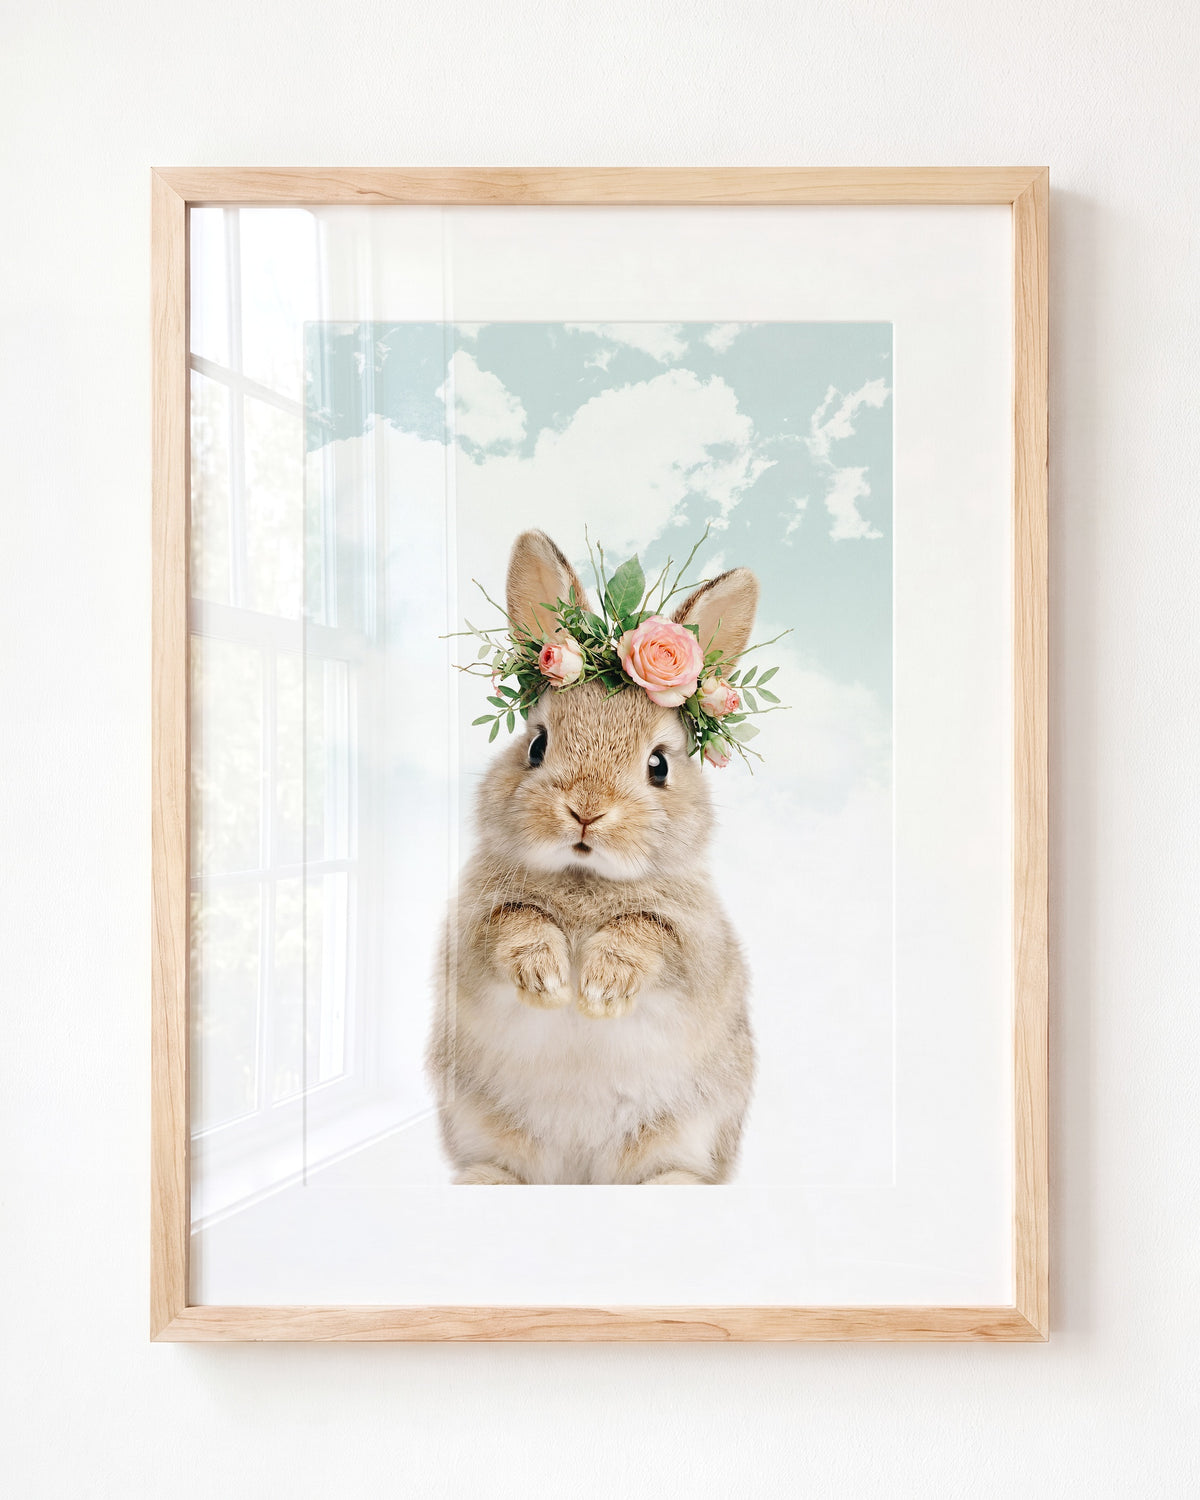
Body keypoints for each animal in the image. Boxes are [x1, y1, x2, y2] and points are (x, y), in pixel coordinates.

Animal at [427, 529, 757, 1184]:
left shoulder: (697, 945)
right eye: (536, 744)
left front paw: (600, 989)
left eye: (658, 764)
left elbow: (647, 932)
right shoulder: (471, 932)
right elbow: (514, 922)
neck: (584, 876)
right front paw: (549, 980)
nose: (586, 811)